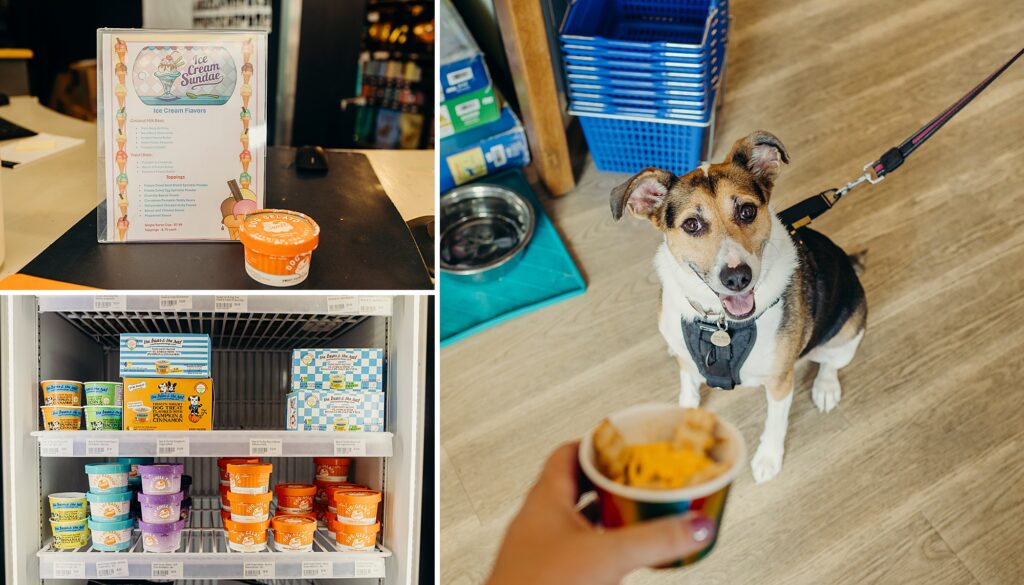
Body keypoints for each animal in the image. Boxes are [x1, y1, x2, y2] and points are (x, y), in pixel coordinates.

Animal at [610, 130, 868, 483]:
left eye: (747, 211)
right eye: (692, 225)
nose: (737, 278)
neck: (717, 322)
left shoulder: (779, 383)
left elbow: (775, 424)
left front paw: (768, 459)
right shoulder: (688, 366)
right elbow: (689, 394)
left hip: (847, 331)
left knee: (831, 361)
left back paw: (826, 388)